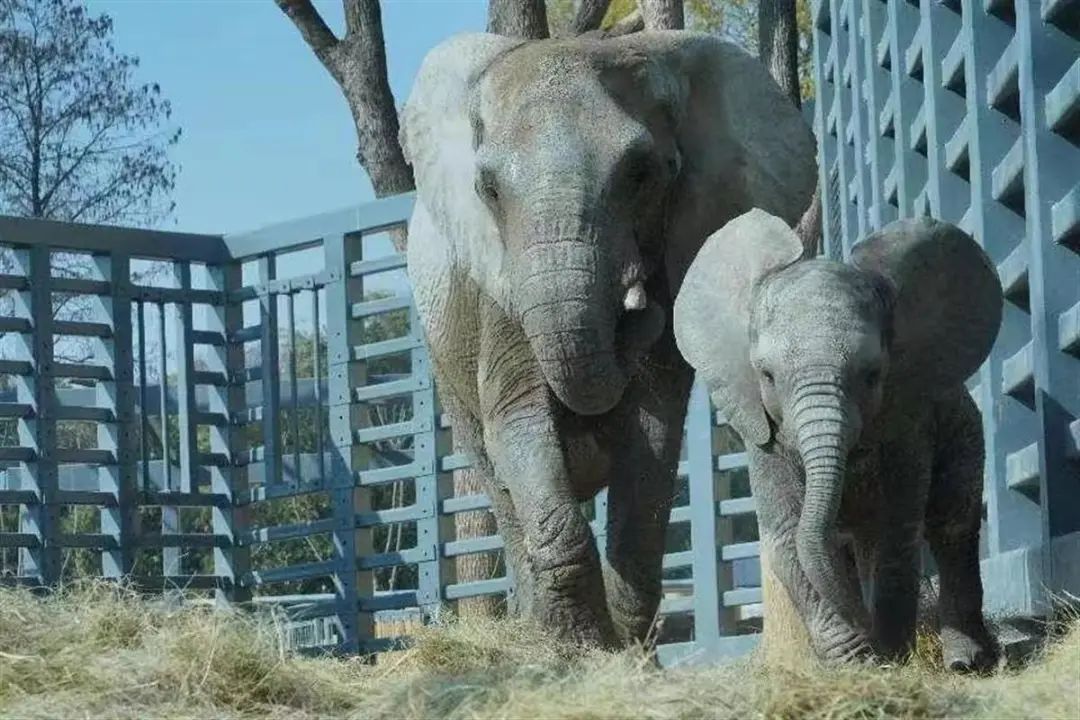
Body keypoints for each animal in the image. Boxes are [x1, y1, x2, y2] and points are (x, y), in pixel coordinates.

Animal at [399, 30, 817, 648]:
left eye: (642, 173)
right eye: (488, 190)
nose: (638, 304)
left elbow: (652, 435)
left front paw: (624, 648)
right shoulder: (498, 294)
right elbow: (517, 422)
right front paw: (577, 646)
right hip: (443, 354)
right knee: (496, 478)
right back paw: (534, 629)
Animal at [673, 209, 1003, 671]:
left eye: (873, 374)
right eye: (767, 376)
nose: (863, 623)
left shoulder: (908, 424)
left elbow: (894, 531)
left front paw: (889, 659)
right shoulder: (762, 433)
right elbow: (790, 535)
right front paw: (857, 664)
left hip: (963, 427)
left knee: (951, 523)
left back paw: (965, 662)